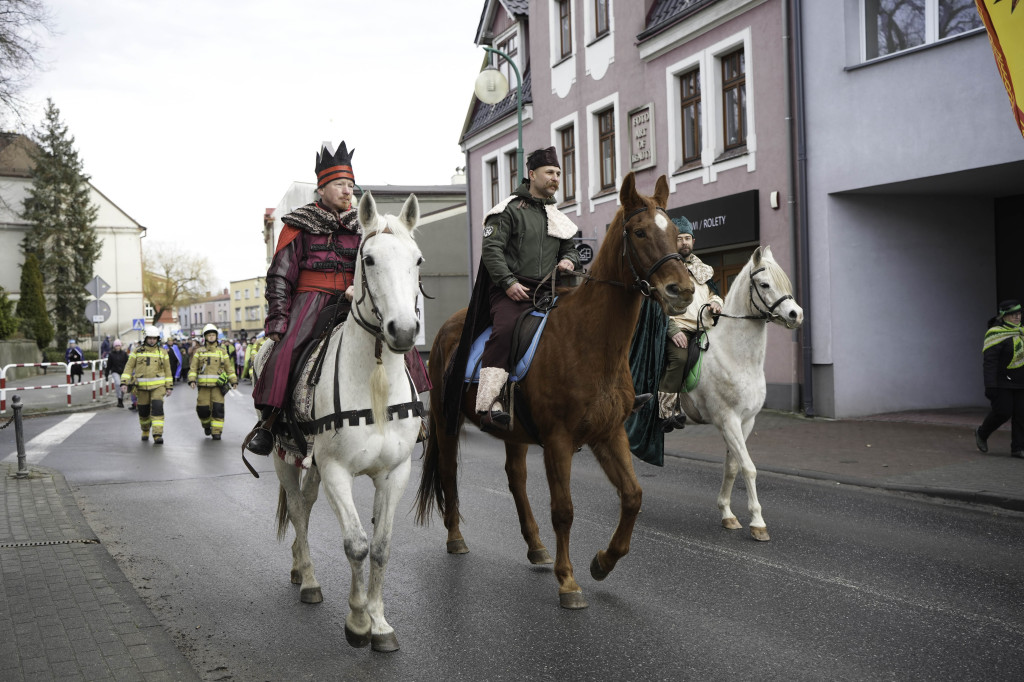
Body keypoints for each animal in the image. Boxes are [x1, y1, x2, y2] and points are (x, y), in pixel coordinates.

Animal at [254, 189, 423, 647]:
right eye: (370, 259)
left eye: (417, 259)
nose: (404, 331)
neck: (375, 381)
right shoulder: (336, 471)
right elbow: (356, 544)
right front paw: (358, 621)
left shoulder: (395, 472)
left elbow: (380, 546)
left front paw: (380, 624)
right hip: (283, 457)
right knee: (298, 508)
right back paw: (309, 580)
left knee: (307, 504)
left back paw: (300, 566)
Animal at [415, 171, 696, 606]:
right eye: (639, 232)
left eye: (671, 231)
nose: (681, 291)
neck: (589, 340)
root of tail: (448, 326)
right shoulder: (559, 440)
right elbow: (564, 509)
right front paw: (568, 581)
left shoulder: (608, 434)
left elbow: (633, 497)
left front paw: (603, 562)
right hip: (446, 421)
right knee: (448, 472)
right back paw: (456, 538)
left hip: (513, 431)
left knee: (515, 478)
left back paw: (535, 546)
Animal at [675, 244, 802, 536]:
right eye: (764, 284)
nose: (796, 314)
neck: (735, 356)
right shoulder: (728, 420)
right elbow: (748, 467)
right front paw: (758, 522)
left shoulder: (746, 421)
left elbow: (732, 467)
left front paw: (728, 514)